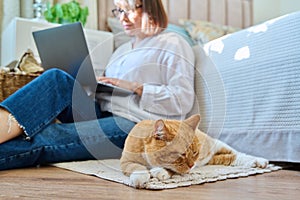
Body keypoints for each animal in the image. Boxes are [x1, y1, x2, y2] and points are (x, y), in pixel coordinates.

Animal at [120, 113, 268, 188]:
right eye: (181, 154)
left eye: (195, 152)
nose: (192, 165)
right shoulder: (125, 161)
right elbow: (136, 166)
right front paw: (140, 176)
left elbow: (171, 169)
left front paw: (160, 171)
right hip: (213, 159)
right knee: (229, 158)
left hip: (218, 145)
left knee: (237, 154)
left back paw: (259, 161)